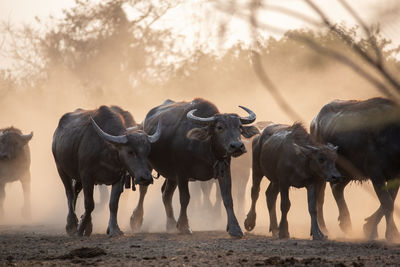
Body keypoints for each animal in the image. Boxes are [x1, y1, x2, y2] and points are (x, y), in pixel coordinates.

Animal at [52, 105, 160, 238]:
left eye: (147, 151)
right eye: (130, 151)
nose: (146, 178)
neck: (108, 151)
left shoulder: (119, 178)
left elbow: (113, 204)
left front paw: (114, 229)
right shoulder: (87, 177)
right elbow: (89, 204)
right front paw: (80, 228)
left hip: (78, 178)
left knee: (75, 192)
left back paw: (86, 224)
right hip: (61, 169)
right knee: (70, 193)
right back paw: (71, 224)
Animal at [310, 98, 400, 243]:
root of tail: (314, 121)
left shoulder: (395, 175)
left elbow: (389, 200)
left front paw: (369, 227)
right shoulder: (376, 174)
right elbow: (387, 202)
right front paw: (392, 234)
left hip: (348, 173)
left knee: (336, 188)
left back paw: (345, 223)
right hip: (323, 173)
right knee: (320, 197)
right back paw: (324, 229)